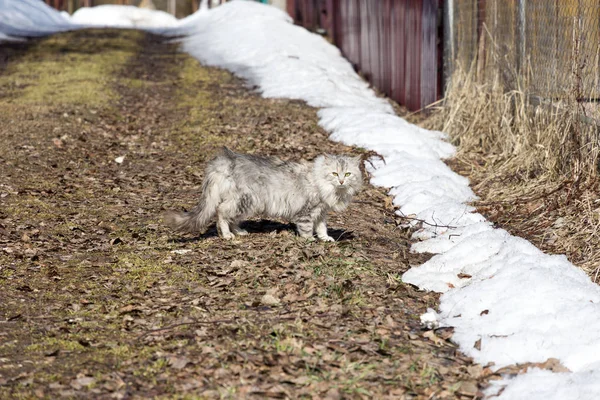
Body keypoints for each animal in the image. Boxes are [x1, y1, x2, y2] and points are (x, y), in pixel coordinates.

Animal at [164, 147, 360, 241]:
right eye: (334, 173)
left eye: (347, 174)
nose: (341, 181)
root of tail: (223, 161)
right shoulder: (307, 211)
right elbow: (306, 229)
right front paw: (310, 241)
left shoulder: (321, 211)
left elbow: (321, 227)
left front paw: (325, 238)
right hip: (244, 200)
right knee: (221, 212)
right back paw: (226, 235)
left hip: (247, 203)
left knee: (231, 217)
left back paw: (240, 231)